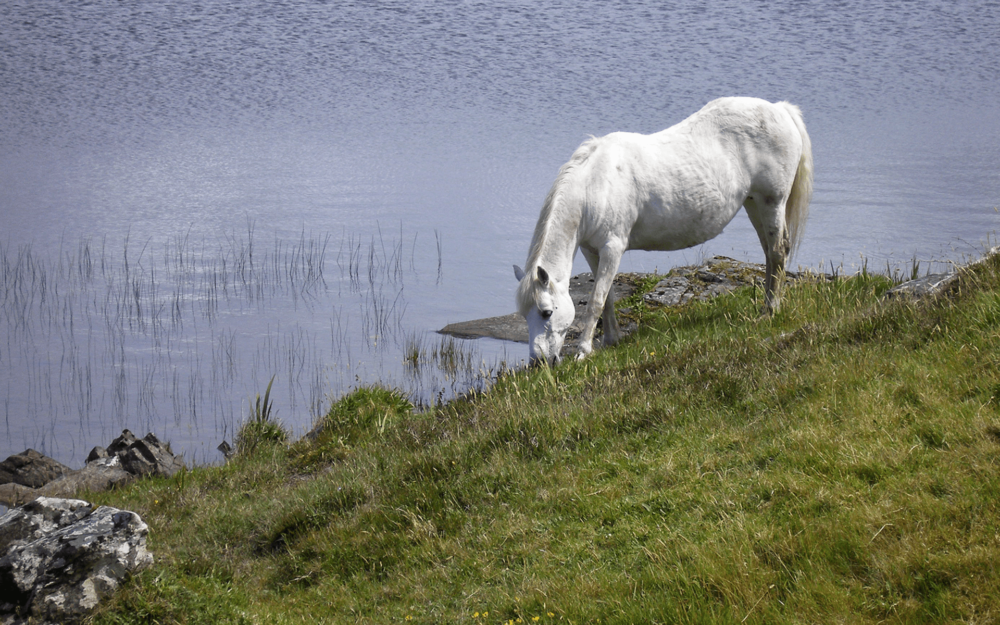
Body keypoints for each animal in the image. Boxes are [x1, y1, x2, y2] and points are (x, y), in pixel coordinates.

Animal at [516, 95, 812, 364]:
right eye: (524, 314)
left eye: (546, 312)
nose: (538, 362)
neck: (595, 185)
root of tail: (780, 109)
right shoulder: (592, 250)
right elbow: (608, 296)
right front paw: (612, 340)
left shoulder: (613, 247)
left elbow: (596, 300)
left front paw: (583, 351)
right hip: (753, 203)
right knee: (769, 253)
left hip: (772, 201)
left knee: (777, 252)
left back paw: (769, 311)